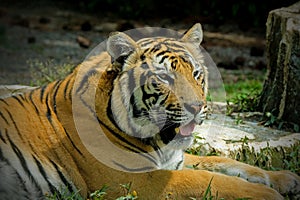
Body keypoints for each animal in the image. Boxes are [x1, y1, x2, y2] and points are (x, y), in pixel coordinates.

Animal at [0, 23, 300, 198]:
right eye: (165, 78)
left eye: (196, 74)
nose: (197, 107)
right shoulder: (136, 181)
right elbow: (210, 179)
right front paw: (268, 195)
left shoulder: (172, 160)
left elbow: (222, 163)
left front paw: (285, 180)